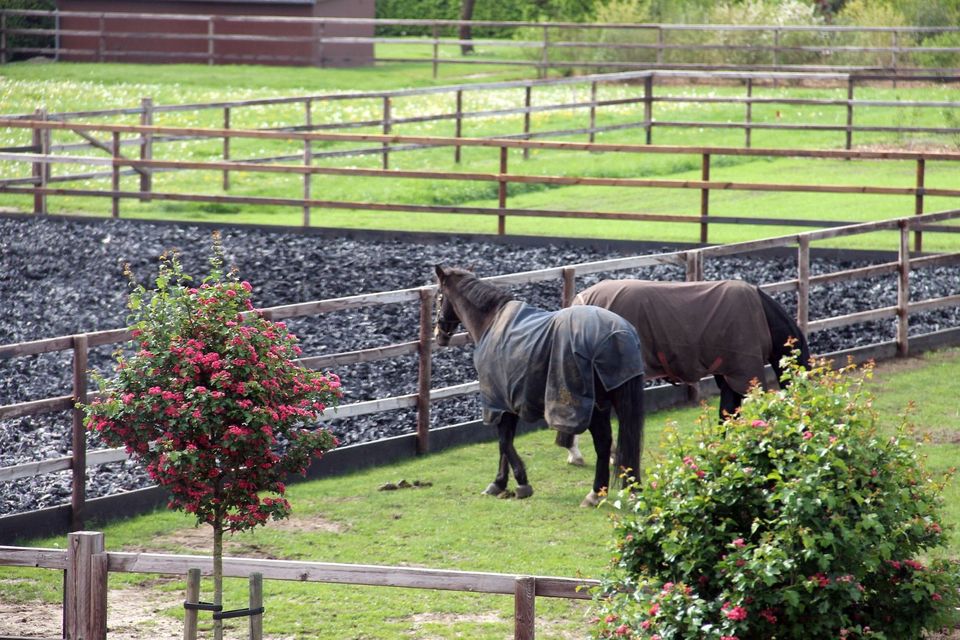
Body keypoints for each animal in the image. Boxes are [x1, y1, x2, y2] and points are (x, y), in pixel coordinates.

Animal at [434, 264, 644, 504]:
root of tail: (620, 334)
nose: (439, 335)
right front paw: (500, 483)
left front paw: (520, 482)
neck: (491, 323)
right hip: (610, 402)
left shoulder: (498, 402)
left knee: (603, 443)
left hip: (592, 407)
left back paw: (595, 494)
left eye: (438, 296)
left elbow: (504, 442)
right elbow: (504, 442)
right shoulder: (507, 403)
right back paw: (630, 490)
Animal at [560, 280, 808, 464]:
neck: (762, 316)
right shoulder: (740, 374)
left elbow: (729, 415)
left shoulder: (728, 376)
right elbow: (728, 414)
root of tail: (581, 304)